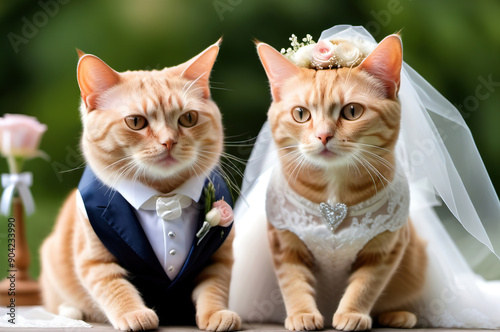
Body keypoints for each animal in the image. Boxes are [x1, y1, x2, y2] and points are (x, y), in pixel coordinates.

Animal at [41, 41, 240, 332]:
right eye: (136, 122)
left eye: (189, 118)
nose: (169, 141)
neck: (165, 195)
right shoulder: (95, 259)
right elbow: (115, 287)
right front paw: (134, 314)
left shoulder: (217, 257)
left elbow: (214, 287)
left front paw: (217, 313)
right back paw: (71, 310)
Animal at [258, 33, 426, 330]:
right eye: (300, 114)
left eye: (352, 111)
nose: (323, 135)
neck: (334, 192)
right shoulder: (283, 242)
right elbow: (293, 281)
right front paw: (302, 313)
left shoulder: (387, 247)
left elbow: (367, 284)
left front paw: (352, 313)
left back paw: (398, 315)